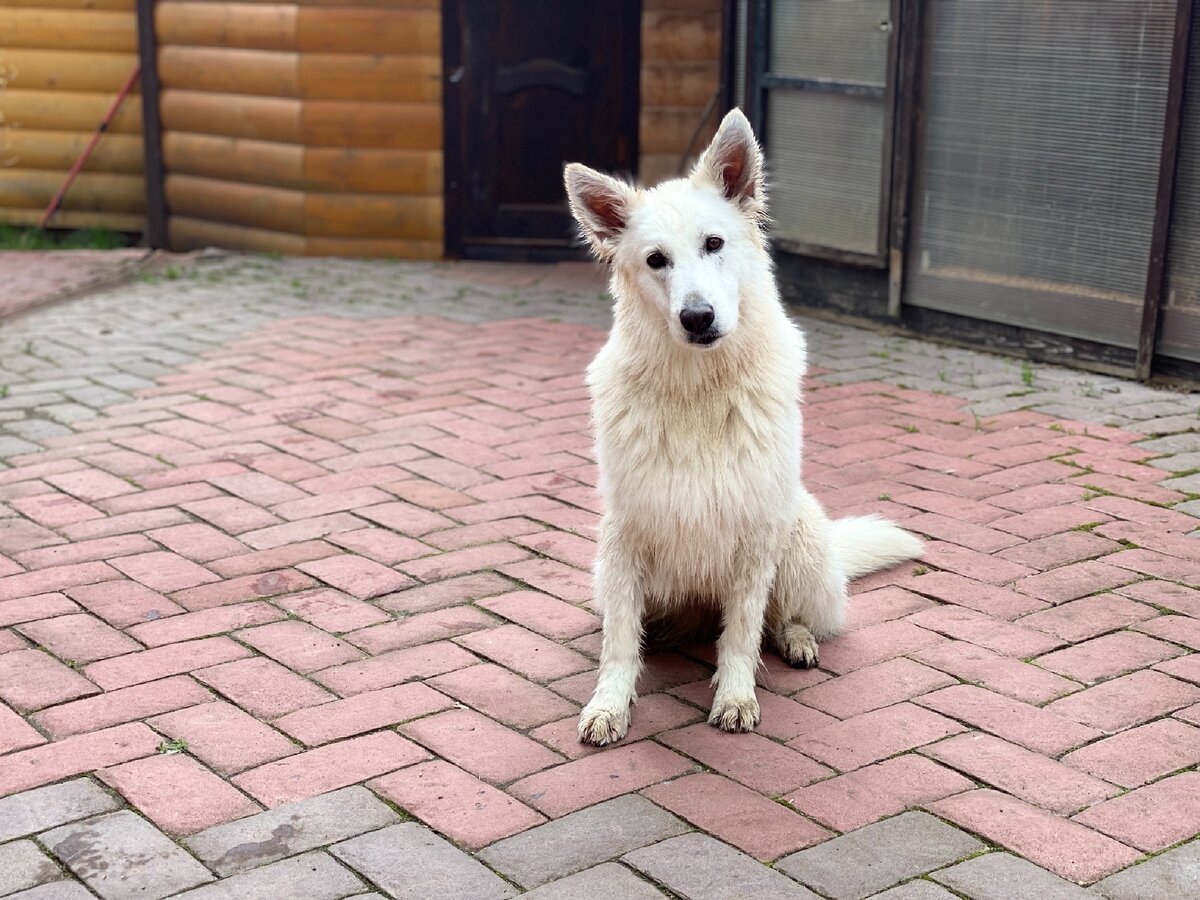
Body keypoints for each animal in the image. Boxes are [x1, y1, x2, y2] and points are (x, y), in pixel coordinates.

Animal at [566, 107, 921, 748]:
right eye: (656, 260)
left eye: (714, 244)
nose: (697, 317)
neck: (700, 393)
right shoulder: (626, 533)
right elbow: (620, 643)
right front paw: (609, 704)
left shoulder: (755, 536)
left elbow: (742, 633)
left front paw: (734, 697)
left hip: (798, 537)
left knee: (785, 618)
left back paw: (797, 639)